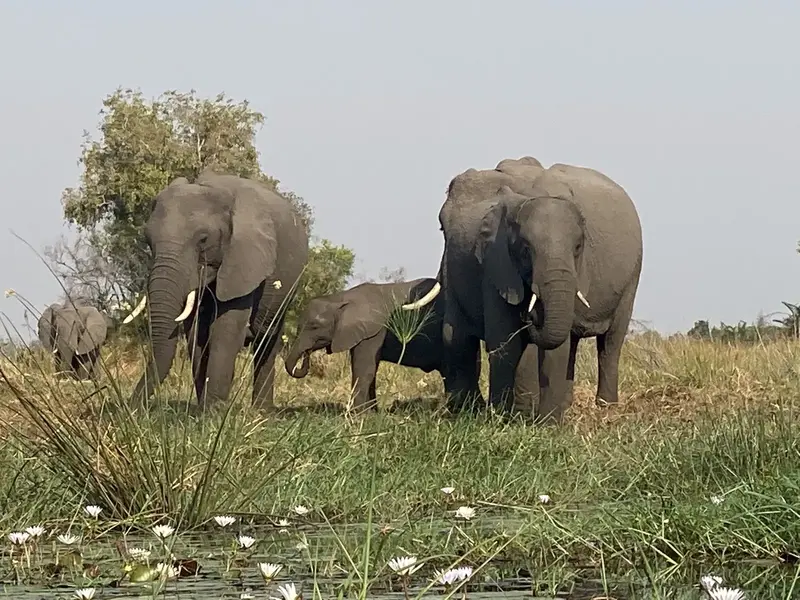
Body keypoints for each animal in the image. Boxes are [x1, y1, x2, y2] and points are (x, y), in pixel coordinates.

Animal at [122, 168, 309, 410]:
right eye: (148, 240)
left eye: (203, 240)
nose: (131, 407)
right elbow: (196, 335)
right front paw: (204, 409)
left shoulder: (244, 259)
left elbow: (225, 330)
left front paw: (213, 412)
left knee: (267, 340)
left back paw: (261, 412)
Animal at [284, 278, 445, 410]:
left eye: (315, 327)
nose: (307, 353)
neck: (341, 299)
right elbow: (367, 369)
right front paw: (370, 413)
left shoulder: (374, 329)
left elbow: (364, 368)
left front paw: (358, 416)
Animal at [403, 158, 643, 424]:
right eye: (525, 249)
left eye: (579, 247)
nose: (531, 316)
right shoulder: (495, 263)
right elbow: (504, 339)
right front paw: (503, 418)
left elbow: (549, 347)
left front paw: (546, 424)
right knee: (456, 336)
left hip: (632, 277)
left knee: (610, 343)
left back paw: (606, 409)